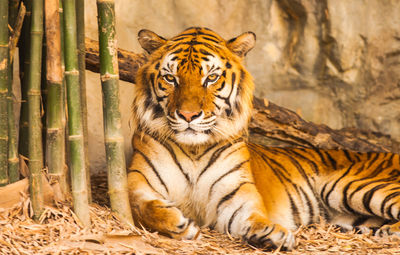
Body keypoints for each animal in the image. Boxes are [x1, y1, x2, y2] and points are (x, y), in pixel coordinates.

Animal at [126, 26, 400, 250]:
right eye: (170, 78)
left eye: (211, 78)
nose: (188, 115)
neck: (194, 149)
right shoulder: (138, 181)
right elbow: (140, 205)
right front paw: (180, 223)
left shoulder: (236, 195)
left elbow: (253, 216)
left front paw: (272, 234)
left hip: (353, 185)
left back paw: (388, 232)